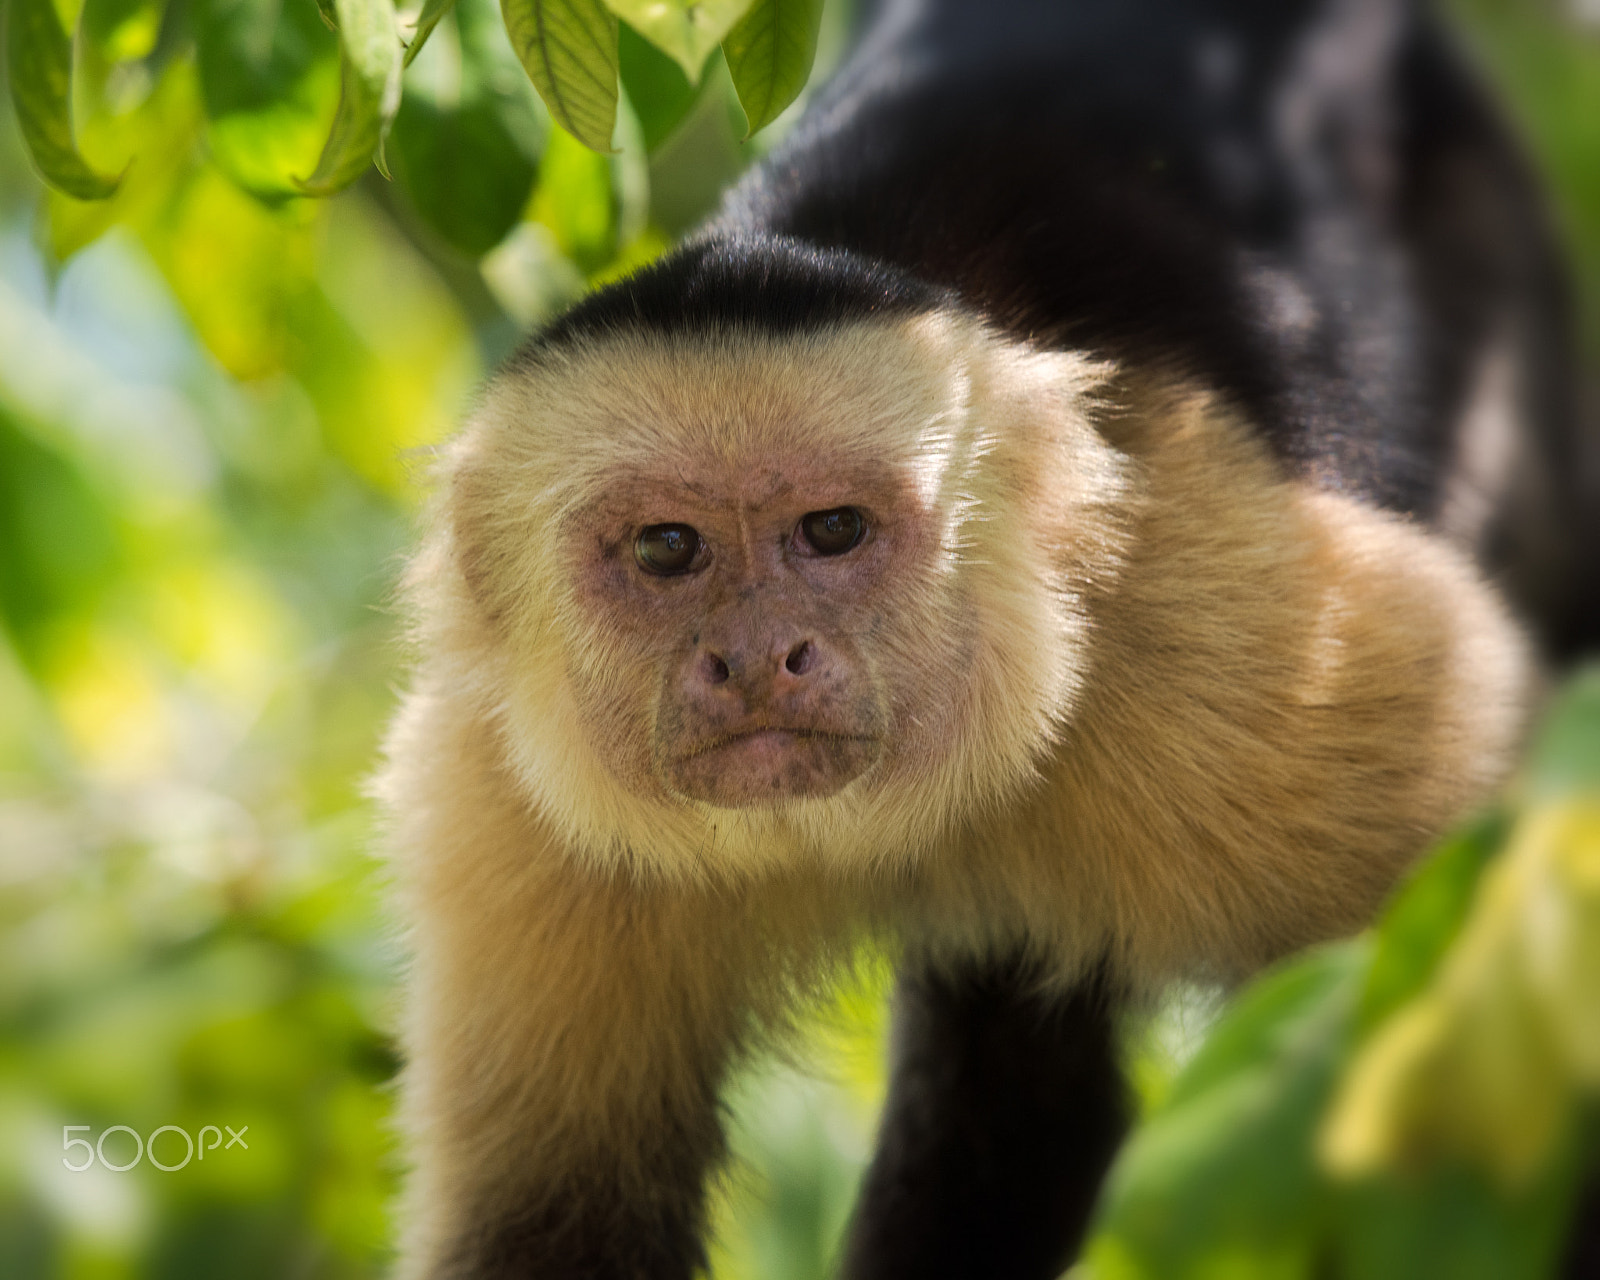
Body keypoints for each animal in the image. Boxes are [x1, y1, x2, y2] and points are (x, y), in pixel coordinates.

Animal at [375, 0, 1597, 1277]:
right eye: (667, 549)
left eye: (833, 529)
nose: (757, 657)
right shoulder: (502, 805)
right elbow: (543, 1228)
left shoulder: (1248, 654)